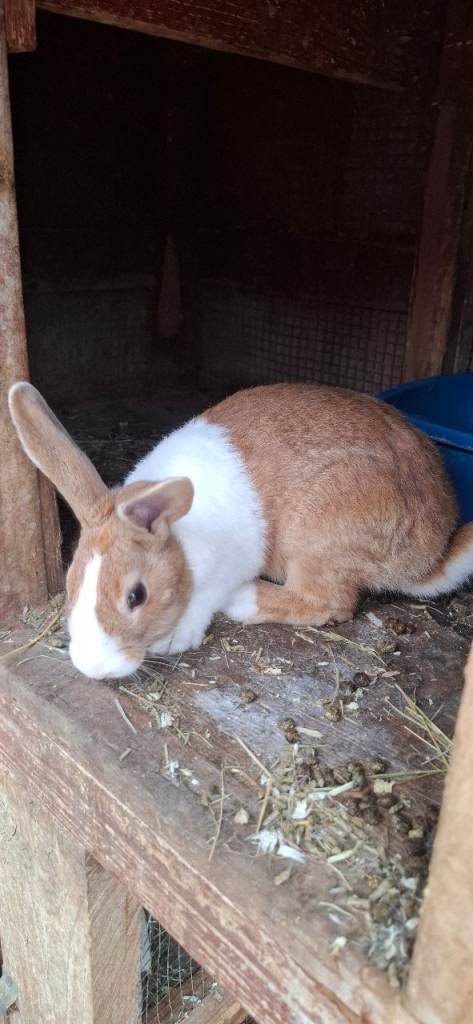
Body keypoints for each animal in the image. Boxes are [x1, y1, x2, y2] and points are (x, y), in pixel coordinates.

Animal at [8, 380, 473, 681]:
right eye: (72, 583)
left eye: (136, 596)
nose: (93, 667)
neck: (181, 541)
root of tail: (429, 555)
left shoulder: (225, 566)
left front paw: (175, 638)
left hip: (317, 541)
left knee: (331, 602)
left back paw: (245, 599)